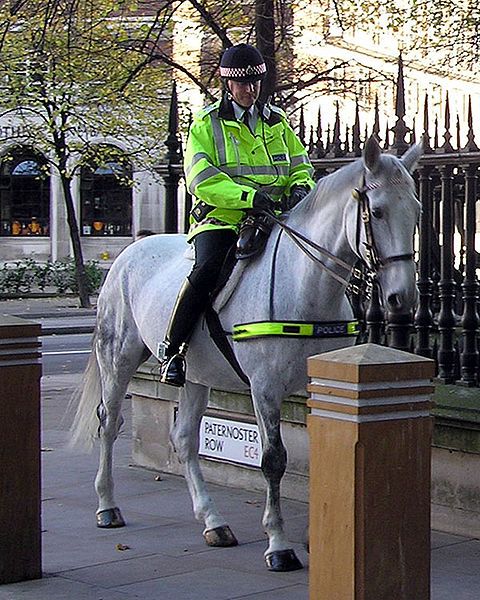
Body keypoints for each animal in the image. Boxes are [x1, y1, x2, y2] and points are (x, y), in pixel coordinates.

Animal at [70, 136, 420, 572]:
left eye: (417, 212)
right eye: (377, 211)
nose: (402, 298)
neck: (303, 283)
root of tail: (131, 250)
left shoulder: (321, 385)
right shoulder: (265, 387)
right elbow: (273, 459)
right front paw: (279, 544)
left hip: (197, 374)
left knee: (184, 438)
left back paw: (213, 521)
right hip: (117, 358)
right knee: (109, 421)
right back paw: (107, 505)